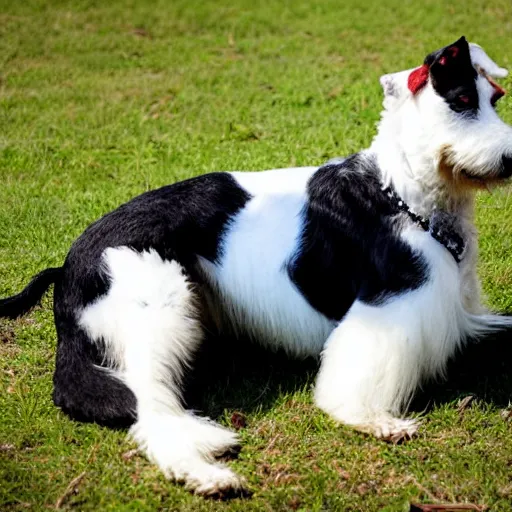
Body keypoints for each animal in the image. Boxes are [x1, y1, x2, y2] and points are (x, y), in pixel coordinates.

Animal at [1, 37, 512, 496]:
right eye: (462, 101)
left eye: (494, 98)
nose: (509, 158)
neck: (402, 191)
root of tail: (68, 268)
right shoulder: (389, 309)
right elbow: (350, 387)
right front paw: (374, 422)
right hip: (158, 311)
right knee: (149, 409)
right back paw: (208, 474)